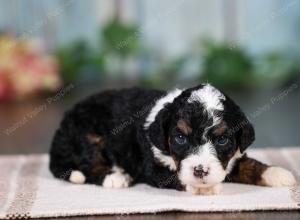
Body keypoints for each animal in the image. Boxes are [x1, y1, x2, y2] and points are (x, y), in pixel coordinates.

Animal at [49, 84, 296, 194]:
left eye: (222, 140)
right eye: (179, 138)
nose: (200, 171)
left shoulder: (231, 158)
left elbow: (248, 164)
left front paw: (278, 173)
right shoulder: (152, 167)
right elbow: (176, 176)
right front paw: (203, 187)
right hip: (86, 133)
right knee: (89, 163)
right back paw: (115, 177)